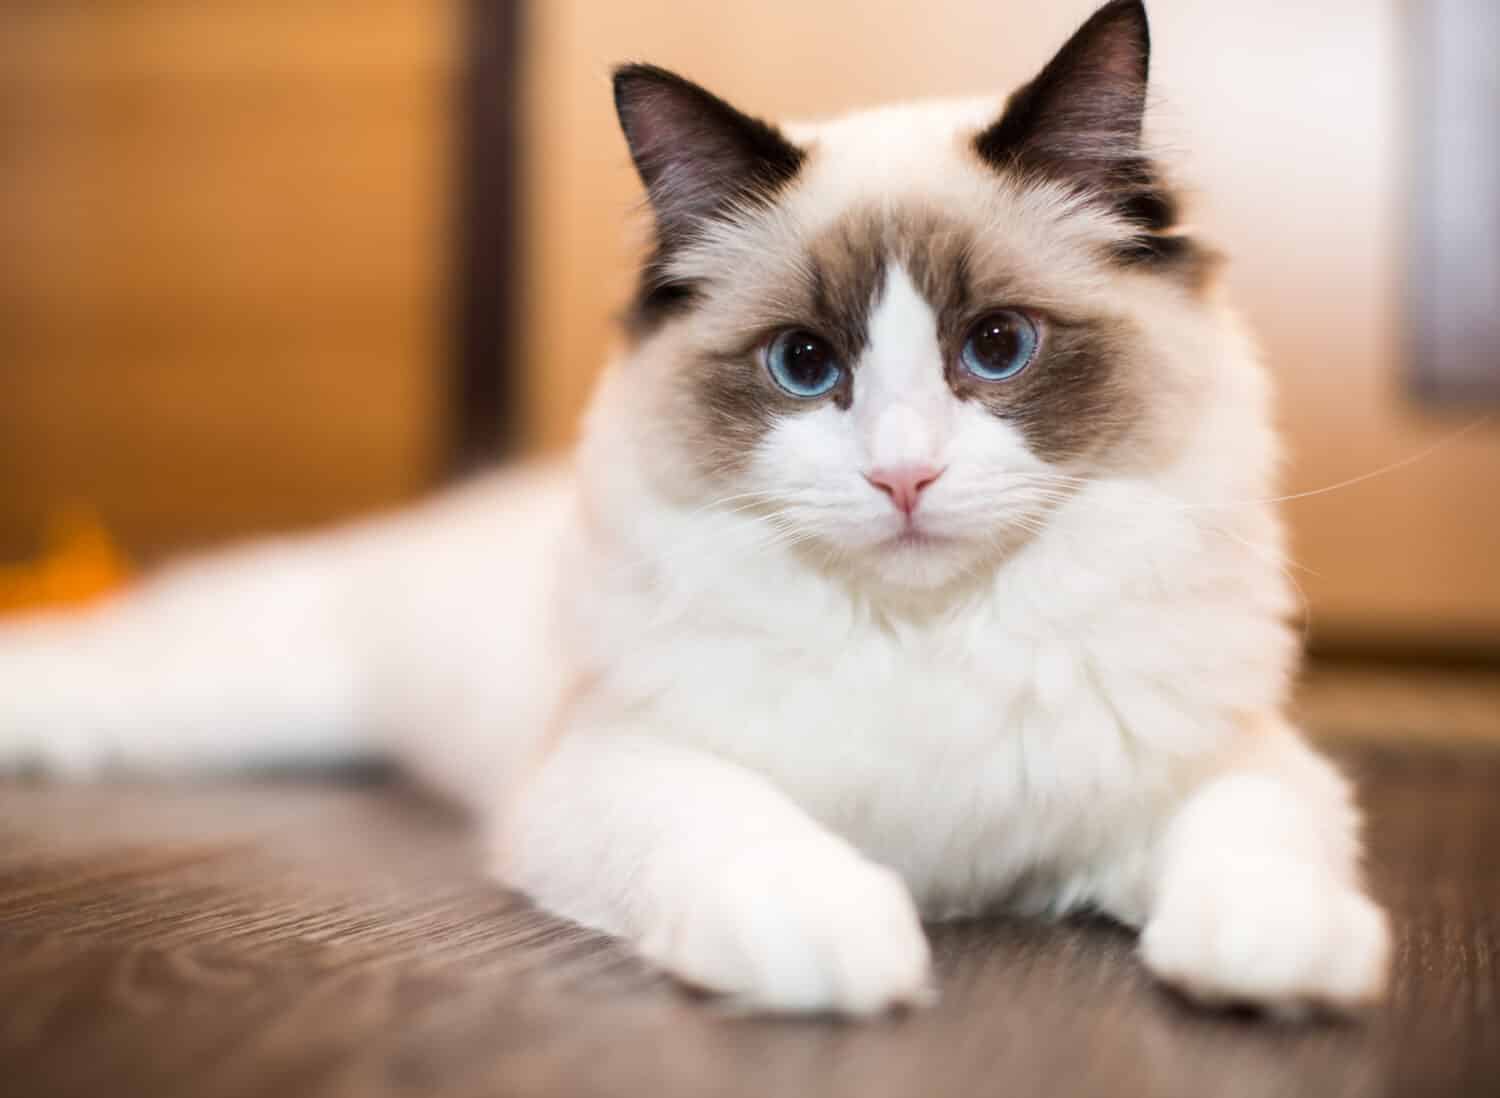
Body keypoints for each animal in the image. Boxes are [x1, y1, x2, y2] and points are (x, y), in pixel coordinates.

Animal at [0, 0, 1386, 1014]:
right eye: (805, 365)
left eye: (996, 347)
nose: (903, 476)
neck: (927, 640)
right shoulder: (620, 769)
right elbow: (747, 837)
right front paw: (846, 953)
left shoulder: (1224, 763)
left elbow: (1255, 846)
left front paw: (1274, 963)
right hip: (241, 692)